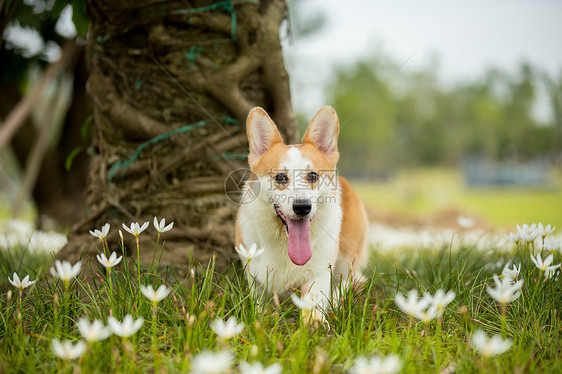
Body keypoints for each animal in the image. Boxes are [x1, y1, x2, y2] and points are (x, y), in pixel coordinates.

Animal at [233, 106, 368, 322]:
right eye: (280, 177)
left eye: (312, 176)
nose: (302, 207)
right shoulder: (254, 274)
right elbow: (259, 304)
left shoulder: (320, 272)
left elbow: (313, 301)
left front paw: (314, 323)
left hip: (348, 258)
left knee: (349, 280)